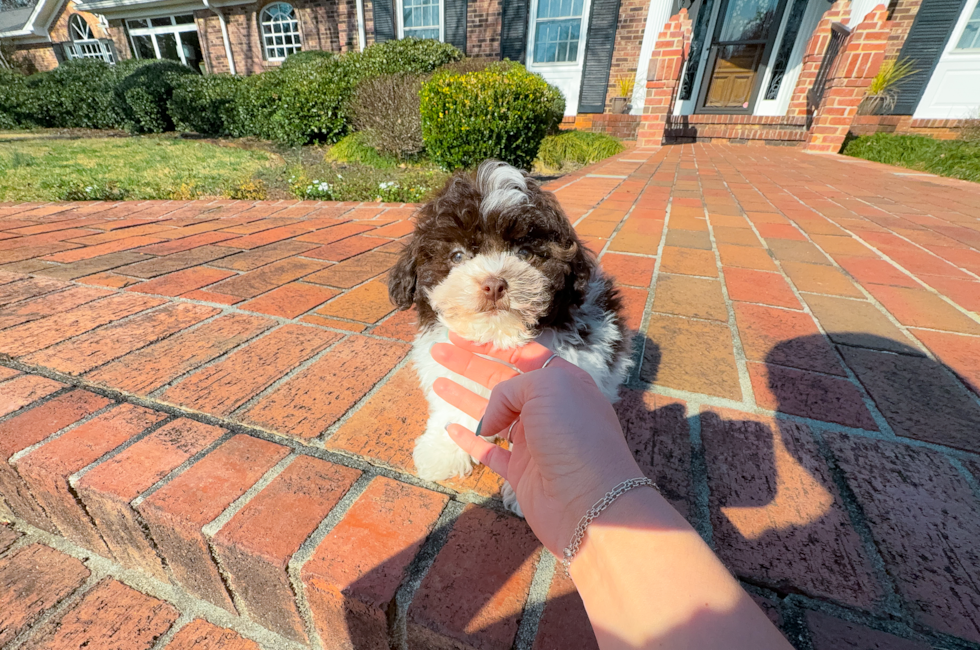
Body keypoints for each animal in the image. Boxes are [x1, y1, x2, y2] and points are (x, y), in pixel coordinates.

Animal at [386, 159, 632, 512]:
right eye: (457, 255)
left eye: (526, 252)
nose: (494, 284)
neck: (500, 336)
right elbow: (453, 404)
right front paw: (444, 449)